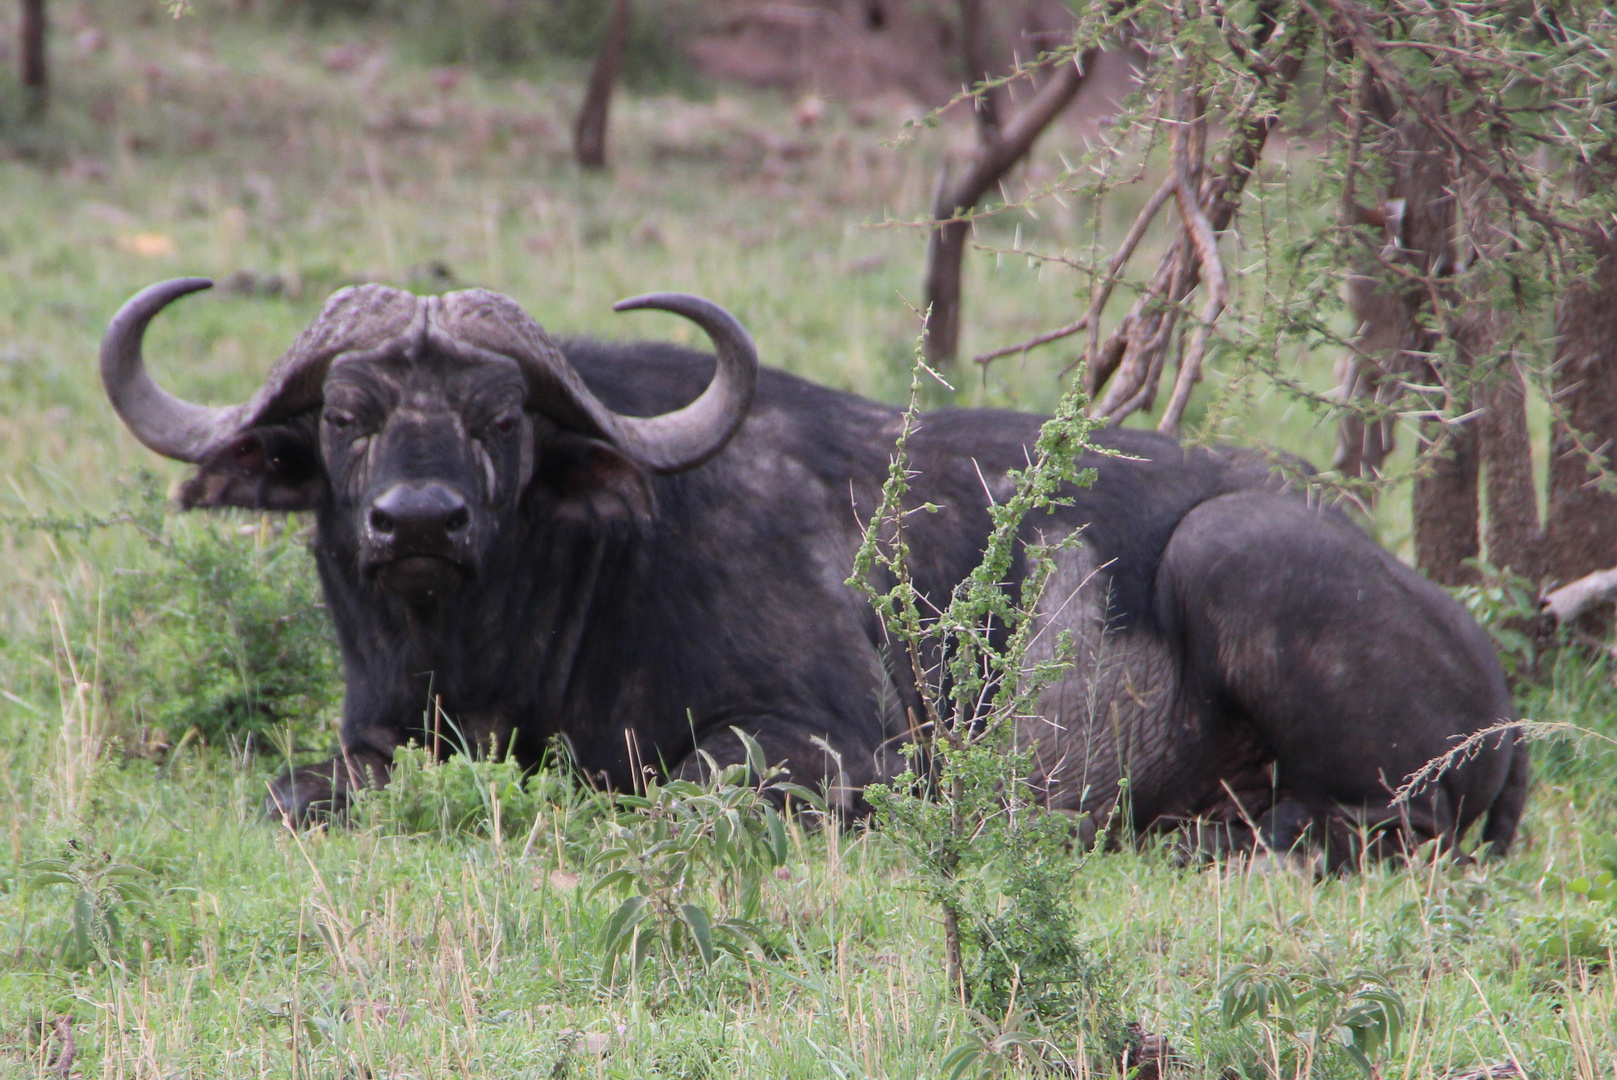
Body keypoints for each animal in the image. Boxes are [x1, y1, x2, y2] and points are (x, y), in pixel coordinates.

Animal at [101, 278, 1526, 860]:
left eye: (501, 418)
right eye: (347, 416)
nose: (417, 522)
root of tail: (1505, 700)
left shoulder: (825, 745)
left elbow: (680, 798)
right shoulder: (379, 736)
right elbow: (294, 792)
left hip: (1238, 553)